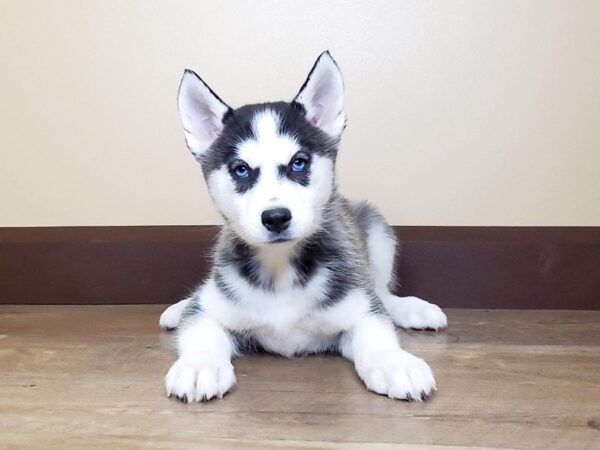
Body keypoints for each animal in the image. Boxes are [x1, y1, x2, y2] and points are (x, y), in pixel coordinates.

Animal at [158, 51, 446, 402]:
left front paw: (393, 363)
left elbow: (376, 330)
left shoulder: (357, 310)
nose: (276, 217)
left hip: (377, 233)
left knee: (380, 292)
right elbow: (200, 326)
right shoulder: (211, 311)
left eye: (299, 162)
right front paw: (200, 365)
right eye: (241, 170)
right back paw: (180, 307)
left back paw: (409, 309)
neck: (280, 268)